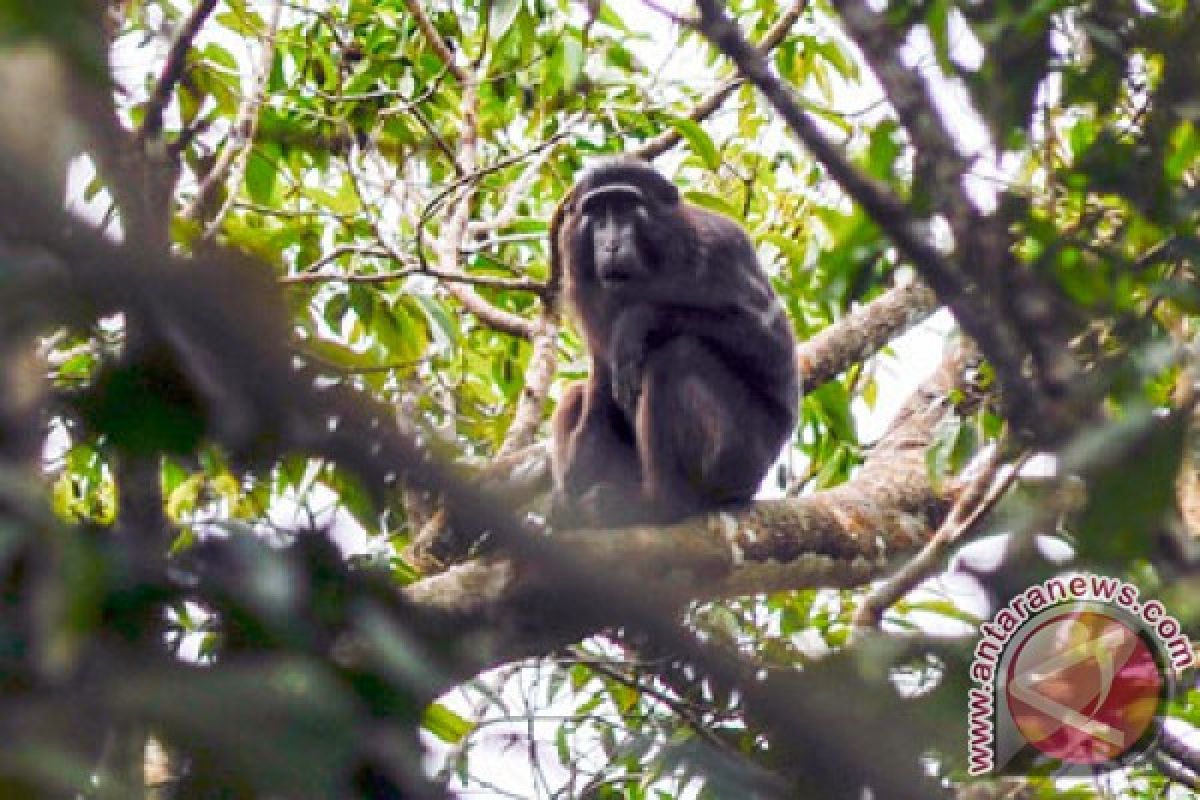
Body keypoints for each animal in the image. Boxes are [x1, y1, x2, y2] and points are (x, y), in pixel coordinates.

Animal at [549, 158, 796, 527]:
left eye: (626, 207)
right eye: (598, 212)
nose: (610, 244)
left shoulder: (724, 245)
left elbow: (770, 345)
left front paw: (638, 321)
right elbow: (600, 377)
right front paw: (574, 482)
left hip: (742, 460)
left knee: (677, 357)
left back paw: (660, 505)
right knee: (577, 392)